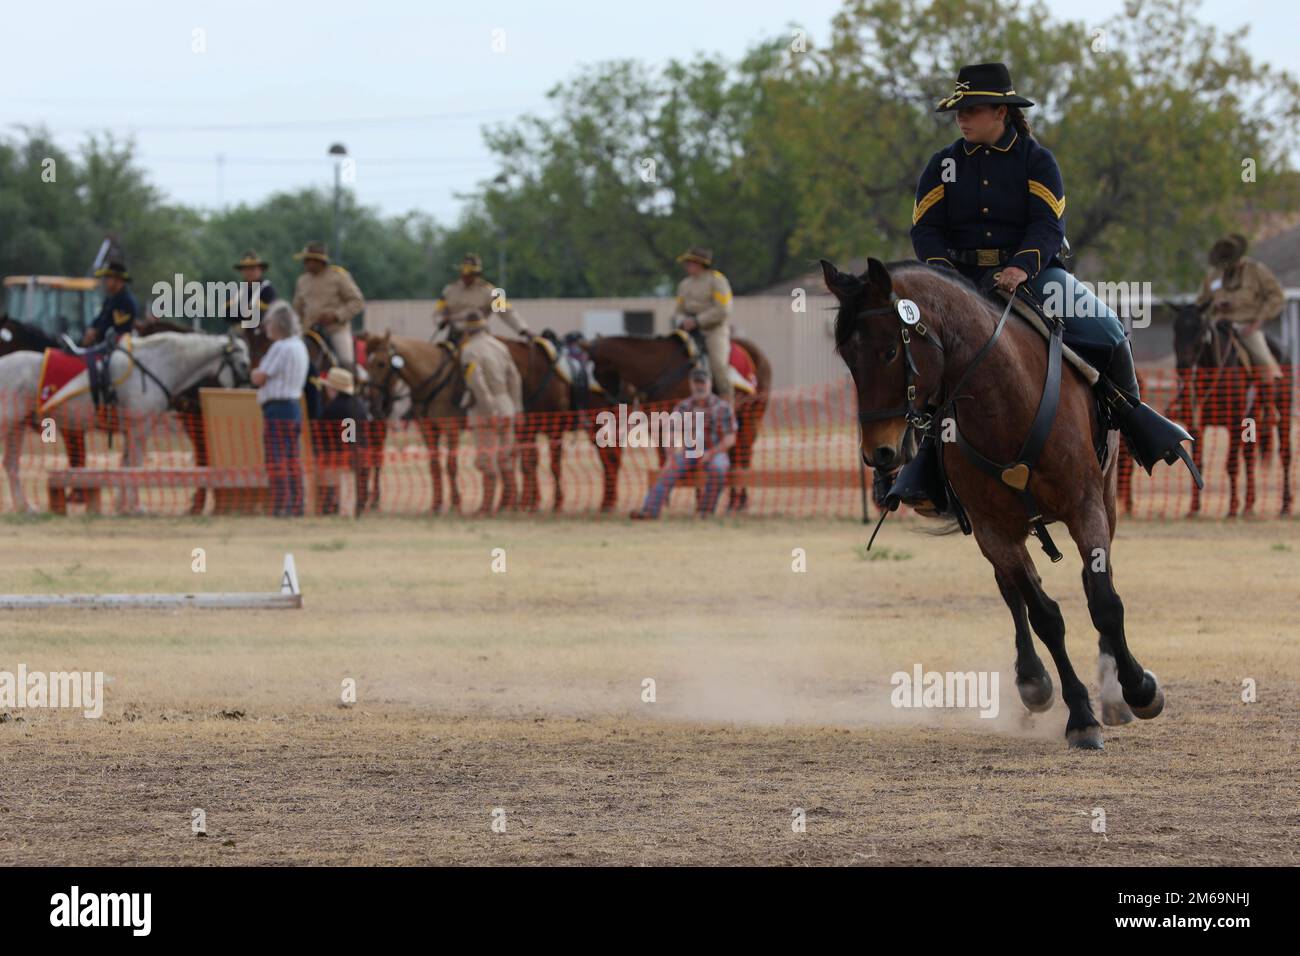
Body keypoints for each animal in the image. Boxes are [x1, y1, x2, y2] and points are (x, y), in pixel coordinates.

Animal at [0, 330, 248, 512]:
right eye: (244, 364)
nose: (248, 389)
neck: (154, 365)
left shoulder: (131, 430)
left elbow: (126, 464)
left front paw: (122, 505)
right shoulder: (140, 428)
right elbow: (136, 465)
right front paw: (136, 506)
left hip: (17, 427)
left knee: (11, 464)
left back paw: (25, 507)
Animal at [582, 330, 764, 512]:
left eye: (596, 373)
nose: (610, 403)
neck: (658, 367)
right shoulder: (658, 422)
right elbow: (664, 455)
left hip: (750, 416)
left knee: (743, 453)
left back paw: (738, 501)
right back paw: (736, 501)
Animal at [826, 257, 1175, 749]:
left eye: (890, 352)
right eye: (848, 358)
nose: (879, 453)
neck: (1003, 403)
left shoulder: (1085, 505)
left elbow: (1105, 603)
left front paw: (1139, 690)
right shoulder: (993, 527)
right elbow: (1044, 616)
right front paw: (1079, 714)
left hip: (1103, 500)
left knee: (1094, 583)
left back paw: (1112, 693)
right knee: (1014, 592)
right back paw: (1033, 682)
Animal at [1170, 304, 1289, 515]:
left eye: (1199, 329)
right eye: (1176, 328)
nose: (1183, 367)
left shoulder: (1234, 423)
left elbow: (1232, 464)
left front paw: (1232, 507)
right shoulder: (1196, 424)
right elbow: (1196, 462)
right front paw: (1194, 507)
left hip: (1283, 412)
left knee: (1284, 455)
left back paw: (1284, 505)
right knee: (1249, 457)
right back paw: (1249, 504)